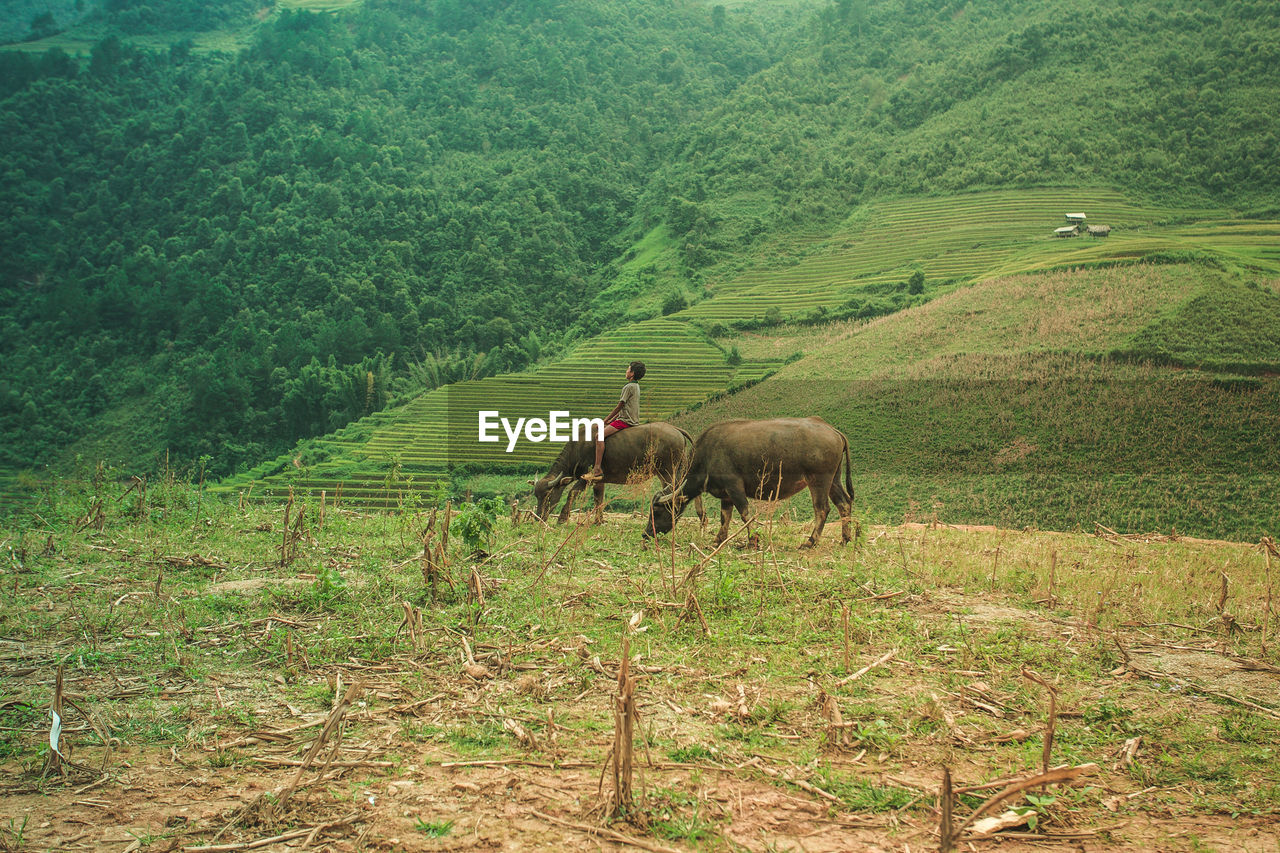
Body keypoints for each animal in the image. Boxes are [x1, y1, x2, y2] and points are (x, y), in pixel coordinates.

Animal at [535, 420, 706, 522]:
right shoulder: (599, 480)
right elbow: (598, 498)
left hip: (669, 471)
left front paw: (562, 518)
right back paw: (702, 518)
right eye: (537, 496)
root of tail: (676, 430)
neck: (578, 447)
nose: (538, 517)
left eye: (548, 495)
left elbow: (572, 493)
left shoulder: (585, 478)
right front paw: (598, 521)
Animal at [645, 417, 855, 548]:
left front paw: (753, 540)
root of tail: (832, 430)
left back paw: (810, 542)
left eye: (656, 511)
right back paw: (846, 539)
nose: (646, 534)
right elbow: (725, 517)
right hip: (834, 480)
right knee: (844, 503)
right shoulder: (725, 495)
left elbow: (745, 513)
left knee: (822, 509)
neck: (708, 456)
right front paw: (718, 540)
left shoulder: (734, 487)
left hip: (819, 481)